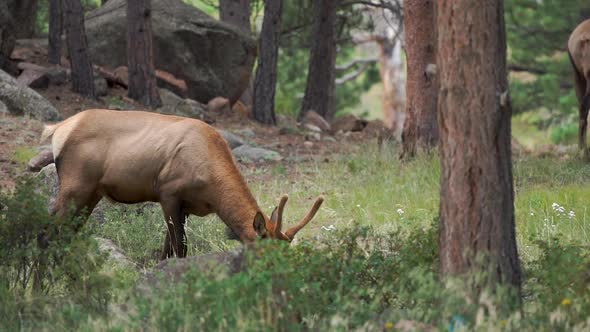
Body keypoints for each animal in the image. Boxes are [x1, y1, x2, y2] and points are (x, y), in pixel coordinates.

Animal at [41, 109, 326, 260]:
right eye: (264, 254)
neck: (212, 190)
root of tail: (57, 129)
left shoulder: (185, 207)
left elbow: (166, 249)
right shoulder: (168, 193)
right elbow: (180, 248)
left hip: (91, 193)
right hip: (75, 186)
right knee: (48, 229)